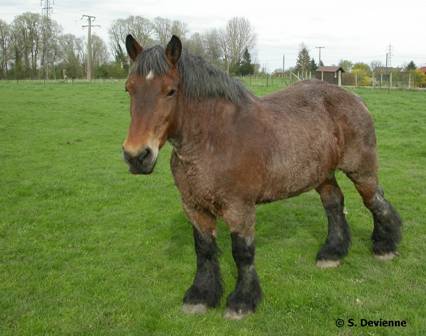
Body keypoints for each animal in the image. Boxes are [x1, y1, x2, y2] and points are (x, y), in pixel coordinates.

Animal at [121, 34, 402, 320]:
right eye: (129, 88)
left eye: (170, 91)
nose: (137, 156)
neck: (215, 139)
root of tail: (355, 98)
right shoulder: (194, 207)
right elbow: (204, 250)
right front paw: (201, 295)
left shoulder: (239, 208)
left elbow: (242, 252)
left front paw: (243, 301)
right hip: (322, 175)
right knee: (334, 204)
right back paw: (333, 252)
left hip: (361, 170)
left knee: (375, 200)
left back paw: (386, 246)